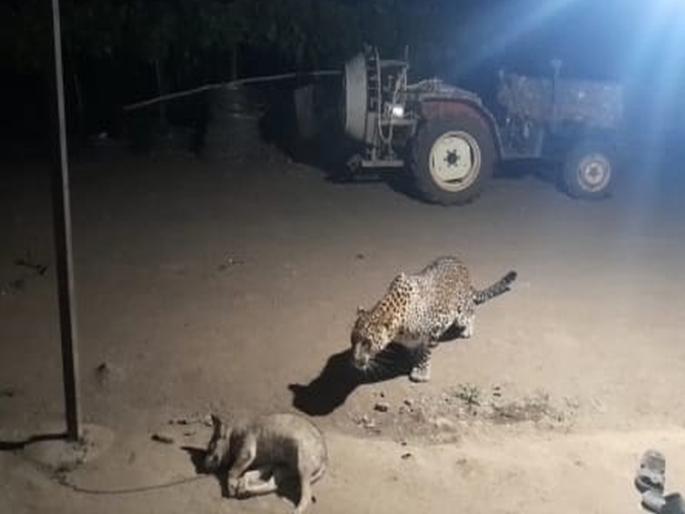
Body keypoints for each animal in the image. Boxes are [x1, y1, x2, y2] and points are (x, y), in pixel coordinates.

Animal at [351, 256, 517, 383]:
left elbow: (426, 354)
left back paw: (468, 330)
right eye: (353, 340)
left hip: (461, 310)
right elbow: (415, 348)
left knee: (471, 311)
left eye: (367, 342)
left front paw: (421, 371)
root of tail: (461, 263)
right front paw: (414, 355)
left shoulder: (433, 329)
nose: (354, 361)